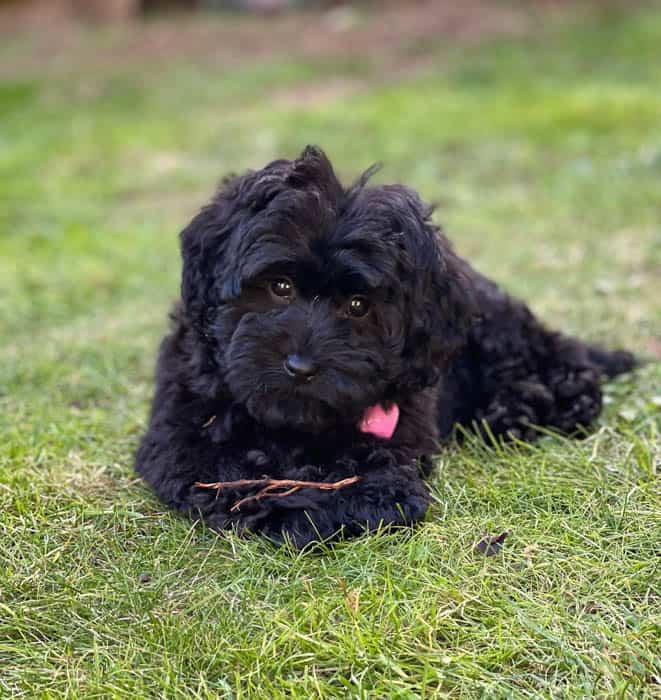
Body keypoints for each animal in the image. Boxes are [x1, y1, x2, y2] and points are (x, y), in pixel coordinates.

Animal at [135, 144, 636, 548]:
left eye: (358, 305)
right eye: (279, 286)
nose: (300, 366)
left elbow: (371, 462)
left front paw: (350, 497)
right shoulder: (181, 432)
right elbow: (230, 467)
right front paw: (302, 504)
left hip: (498, 331)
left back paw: (530, 406)